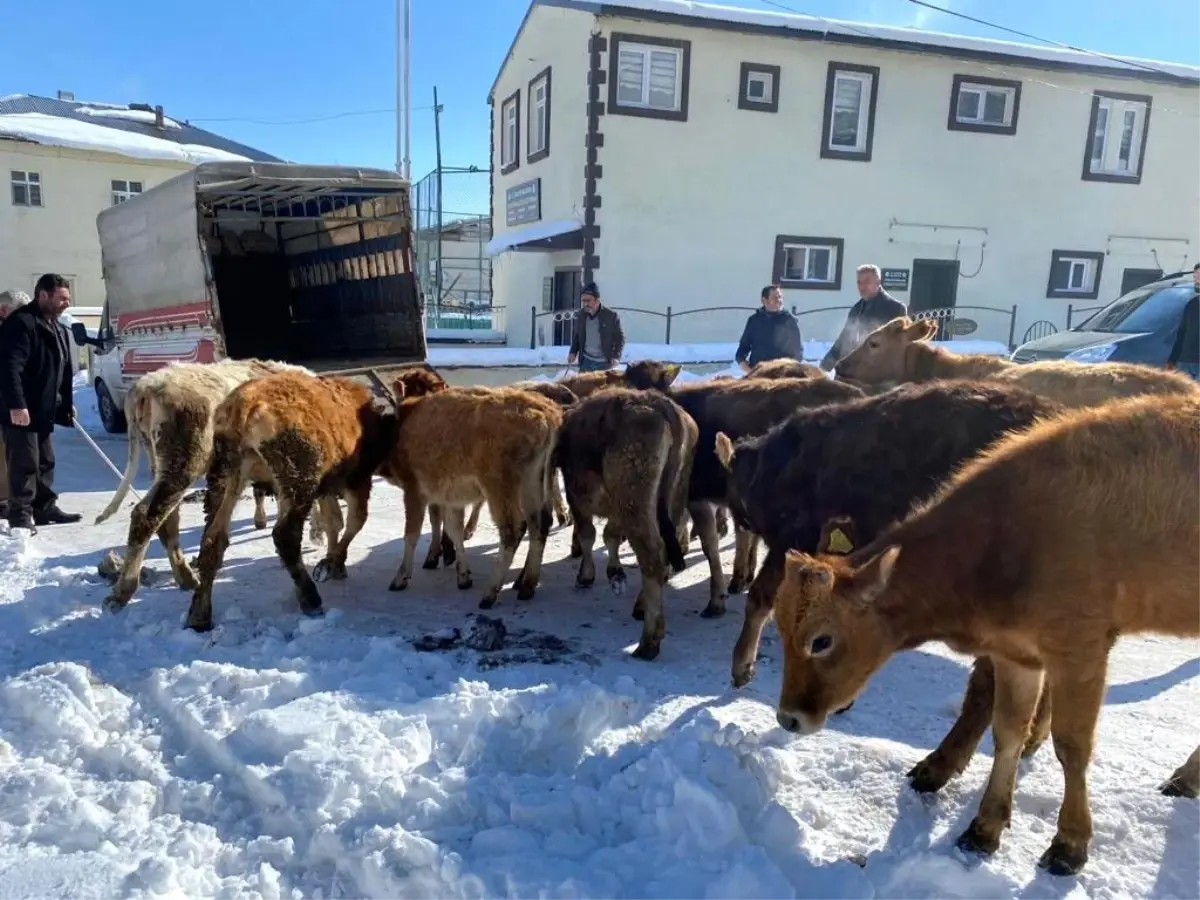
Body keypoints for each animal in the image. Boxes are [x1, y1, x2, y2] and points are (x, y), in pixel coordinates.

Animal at [97, 357, 328, 614]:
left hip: (162, 462)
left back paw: (186, 577)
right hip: (185, 461)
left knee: (167, 518)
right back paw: (122, 592)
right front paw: (316, 533)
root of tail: (146, 385)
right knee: (145, 515)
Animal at [379, 369, 561, 609]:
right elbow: (453, 529)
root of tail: (546, 415)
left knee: (511, 530)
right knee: (539, 524)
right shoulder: (450, 497)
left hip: (500, 489)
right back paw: (527, 586)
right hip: (535, 483)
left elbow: (412, 533)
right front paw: (462, 576)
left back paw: (489, 594)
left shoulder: (414, 491)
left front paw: (400, 578)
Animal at [556, 388, 700, 662]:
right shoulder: (614, 509)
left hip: (634, 502)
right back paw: (642, 607)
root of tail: (658, 403)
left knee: (652, 556)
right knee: (665, 549)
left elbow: (588, 534)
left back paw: (648, 642)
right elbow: (609, 534)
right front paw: (615, 572)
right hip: (672, 496)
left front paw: (586, 574)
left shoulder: (577, 496)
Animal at [768, 393, 1200, 883]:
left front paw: (1069, 844)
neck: (1004, 540)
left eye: (821, 641)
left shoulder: (1080, 648)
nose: (788, 718)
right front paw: (985, 827)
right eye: (780, 629)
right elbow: (1007, 731)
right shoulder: (1017, 654)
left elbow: (1072, 747)